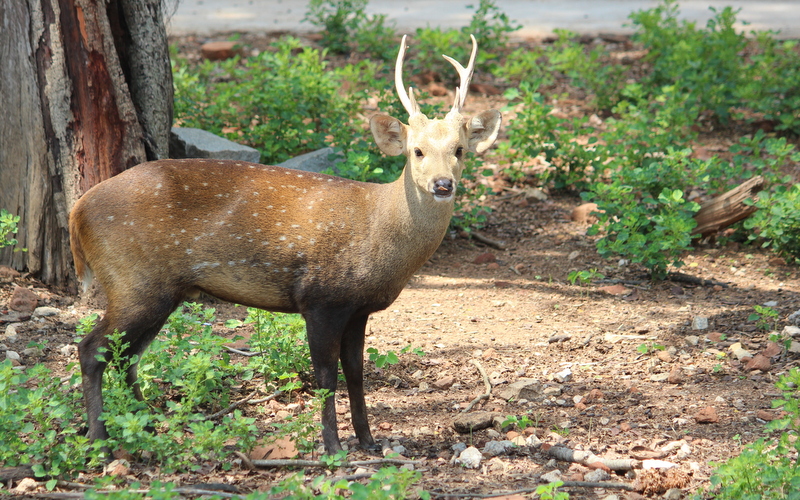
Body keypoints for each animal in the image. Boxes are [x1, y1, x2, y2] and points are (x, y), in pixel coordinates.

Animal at [72, 35, 504, 456]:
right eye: (417, 151)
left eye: (460, 150)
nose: (442, 185)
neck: (380, 234)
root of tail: (78, 210)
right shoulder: (321, 298)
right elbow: (326, 376)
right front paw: (332, 447)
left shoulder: (358, 308)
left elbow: (357, 373)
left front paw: (369, 441)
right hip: (134, 279)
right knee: (92, 349)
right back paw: (101, 444)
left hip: (158, 289)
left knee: (127, 356)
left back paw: (146, 425)